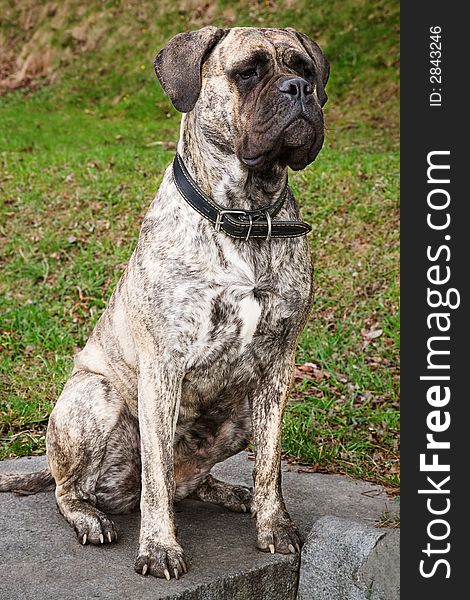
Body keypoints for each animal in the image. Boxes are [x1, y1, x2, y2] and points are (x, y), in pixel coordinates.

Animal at [0, 25, 328, 580]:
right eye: (248, 72)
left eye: (305, 70)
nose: (299, 90)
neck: (245, 216)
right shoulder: (163, 367)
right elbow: (156, 474)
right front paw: (158, 548)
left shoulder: (277, 369)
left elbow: (271, 464)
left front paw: (274, 526)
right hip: (95, 398)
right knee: (81, 490)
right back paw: (90, 516)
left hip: (241, 410)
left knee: (189, 483)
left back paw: (233, 494)